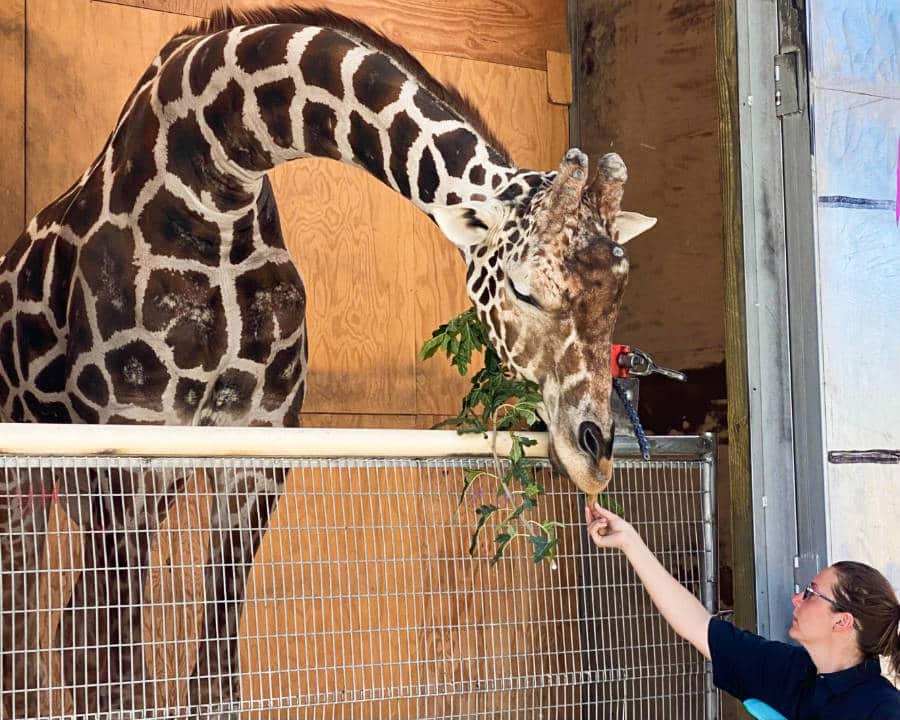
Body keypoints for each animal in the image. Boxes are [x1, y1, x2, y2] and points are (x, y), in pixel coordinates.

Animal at [0, 5, 657, 718]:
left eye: (620, 292)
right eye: (524, 289)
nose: (595, 456)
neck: (214, 182)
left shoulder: (254, 449)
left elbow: (215, 680)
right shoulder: (124, 446)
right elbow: (122, 679)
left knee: (55, 636)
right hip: (30, 485)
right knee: (37, 641)